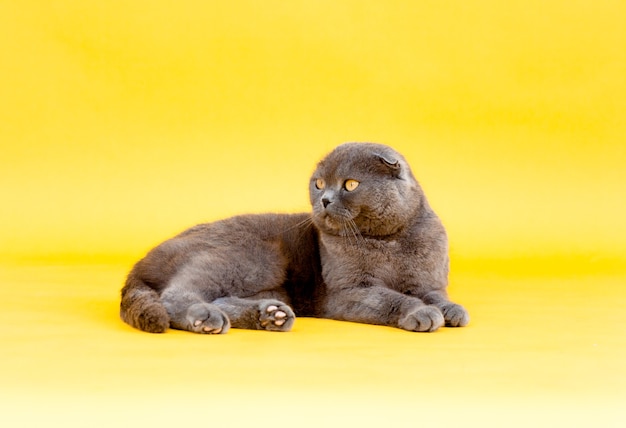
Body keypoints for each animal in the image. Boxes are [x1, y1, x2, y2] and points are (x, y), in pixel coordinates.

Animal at [118, 143, 468, 334]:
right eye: (319, 183)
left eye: (350, 184)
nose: (324, 200)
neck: (390, 240)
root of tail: (140, 263)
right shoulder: (348, 291)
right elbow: (390, 298)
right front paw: (420, 313)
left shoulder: (428, 281)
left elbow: (436, 295)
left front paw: (452, 310)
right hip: (248, 255)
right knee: (176, 295)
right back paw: (206, 319)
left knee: (219, 297)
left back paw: (270, 316)